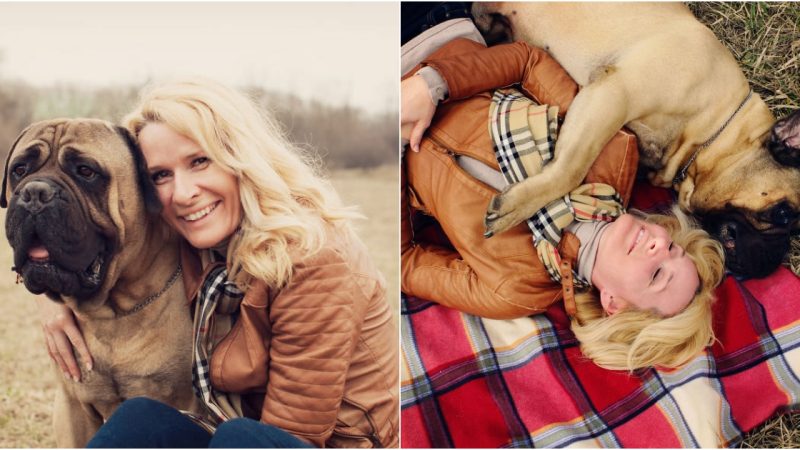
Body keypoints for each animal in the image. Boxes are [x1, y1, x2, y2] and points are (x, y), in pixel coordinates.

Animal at [476, 1, 800, 278]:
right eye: (783, 214)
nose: (774, 262)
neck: (715, 126)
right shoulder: (616, 94)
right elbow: (571, 170)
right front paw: (517, 206)